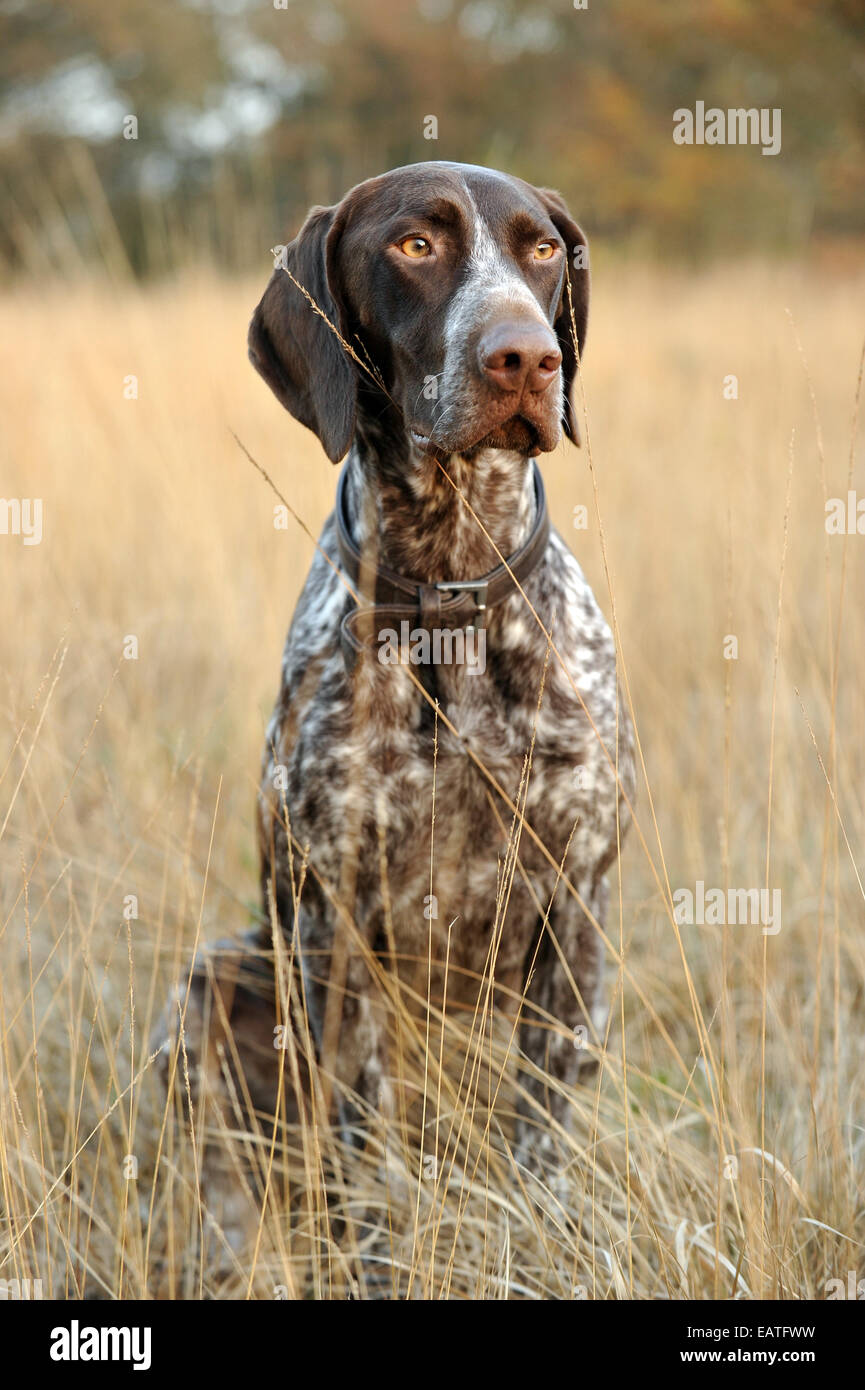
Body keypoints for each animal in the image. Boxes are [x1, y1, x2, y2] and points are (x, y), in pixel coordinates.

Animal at [155, 162, 636, 1262]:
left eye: (542, 250)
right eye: (415, 245)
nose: (526, 358)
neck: (449, 593)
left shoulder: (575, 909)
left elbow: (537, 1143)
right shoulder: (333, 923)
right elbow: (362, 1161)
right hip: (216, 979)